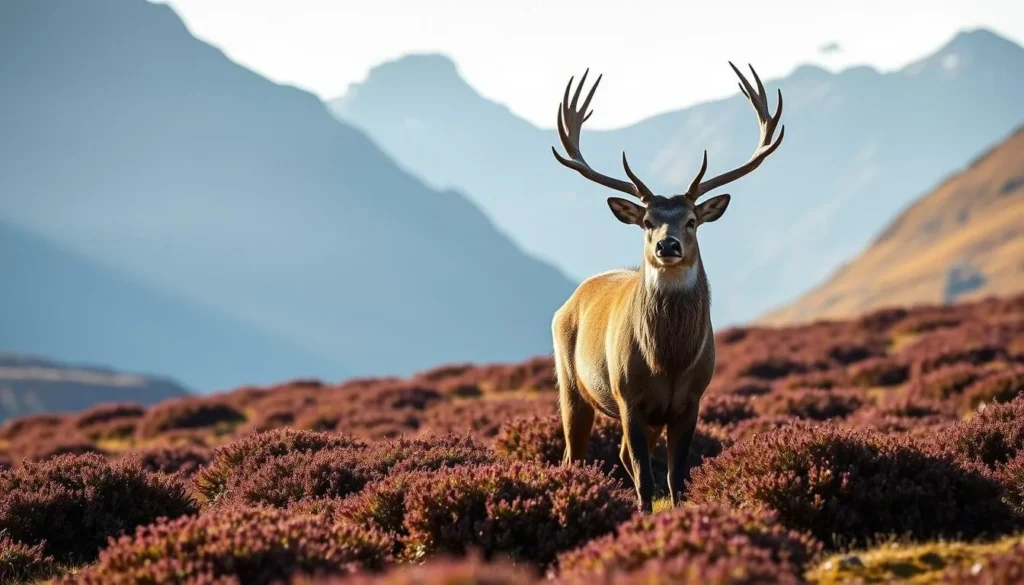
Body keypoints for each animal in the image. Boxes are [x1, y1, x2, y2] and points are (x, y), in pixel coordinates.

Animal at [550, 62, 784, 513]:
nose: (668, 245)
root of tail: (568, 302)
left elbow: (677, 477)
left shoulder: (690, 401)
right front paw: (643, 516)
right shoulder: (629, 398)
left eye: (692, 220)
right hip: (570, 382)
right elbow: (645, 478)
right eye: (647, 221)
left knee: (620, 454)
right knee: (574, 455)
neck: (668, 360)